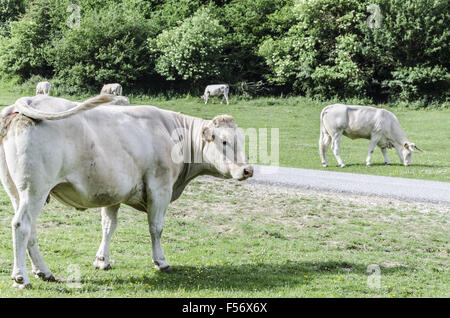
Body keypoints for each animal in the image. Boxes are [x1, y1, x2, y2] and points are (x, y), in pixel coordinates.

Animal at [0, 94, 253, 288]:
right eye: (224, 141)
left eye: (241, 140)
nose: (248, 169)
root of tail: (27, 102)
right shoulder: (160, 187)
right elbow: (156, 228)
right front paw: (160, 262)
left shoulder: (112, 191)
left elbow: (108, 226)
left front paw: (102, 260)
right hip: (35, 189)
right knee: (22, 225)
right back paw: (21, 277)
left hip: (17, 191)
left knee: (30, 230)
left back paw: (44, 272)